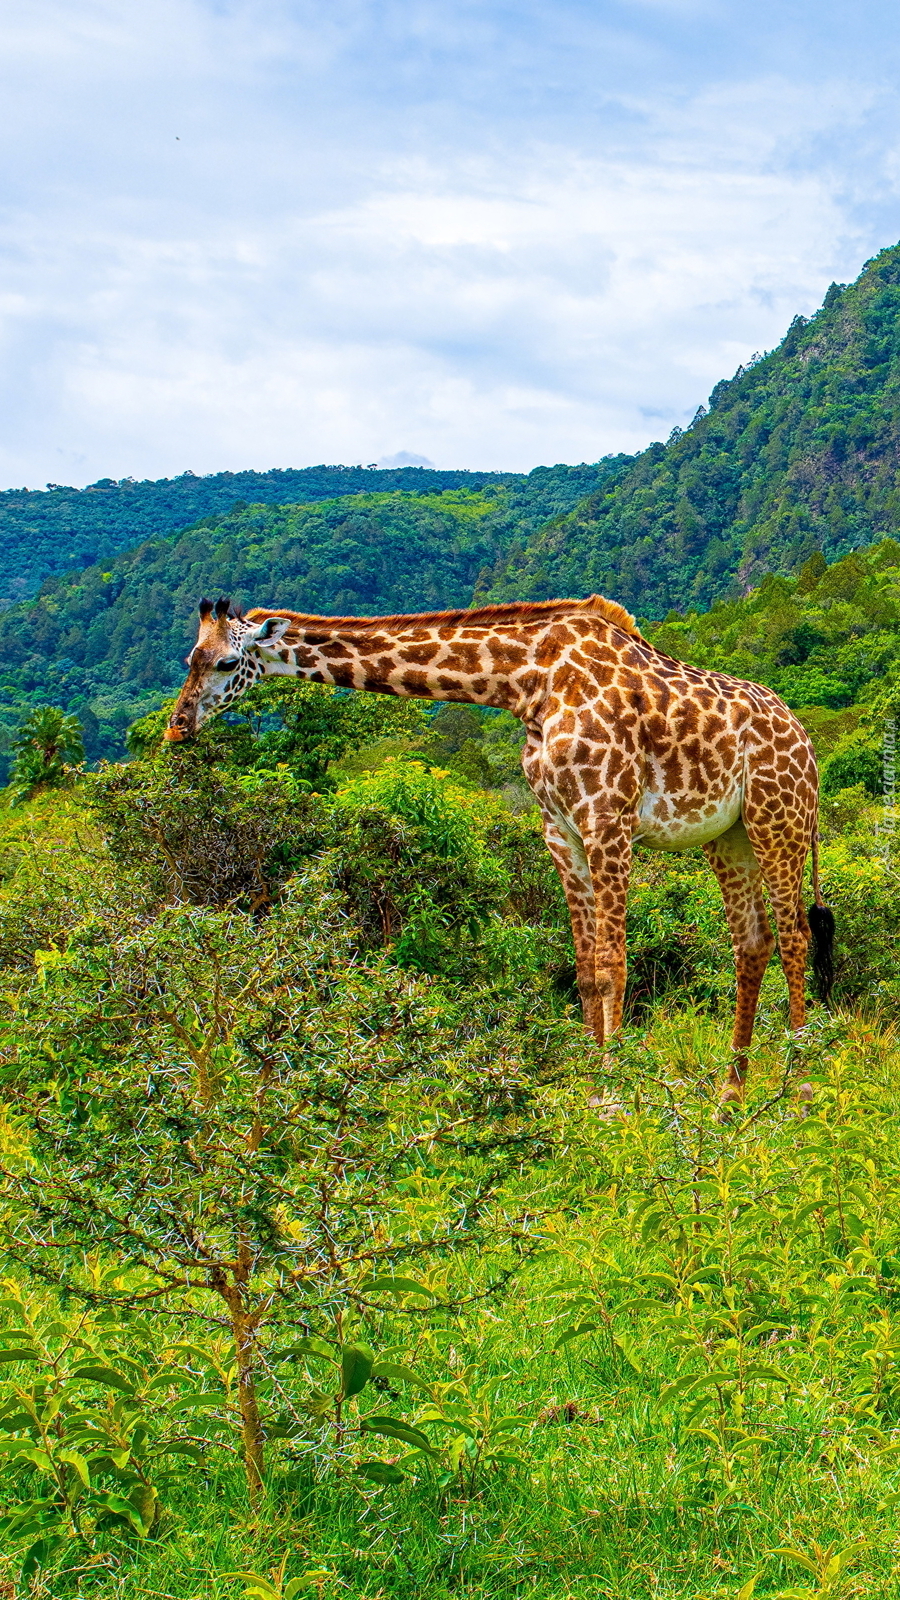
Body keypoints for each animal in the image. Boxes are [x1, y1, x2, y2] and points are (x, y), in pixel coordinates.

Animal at [164, 595, 832, 1107]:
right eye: (189, 660)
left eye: (227, 661)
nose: (176, 727)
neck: (526, 682)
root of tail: (806, 741)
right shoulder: (560, 830)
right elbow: (586, 970)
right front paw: (590, 1086)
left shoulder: (607, 819)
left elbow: (614, 964)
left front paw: (615, 1092)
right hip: (728, 836)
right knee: (753, 943)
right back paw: (730, 1097)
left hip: (780, 818)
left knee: (795, 934)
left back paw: (798, 1084)